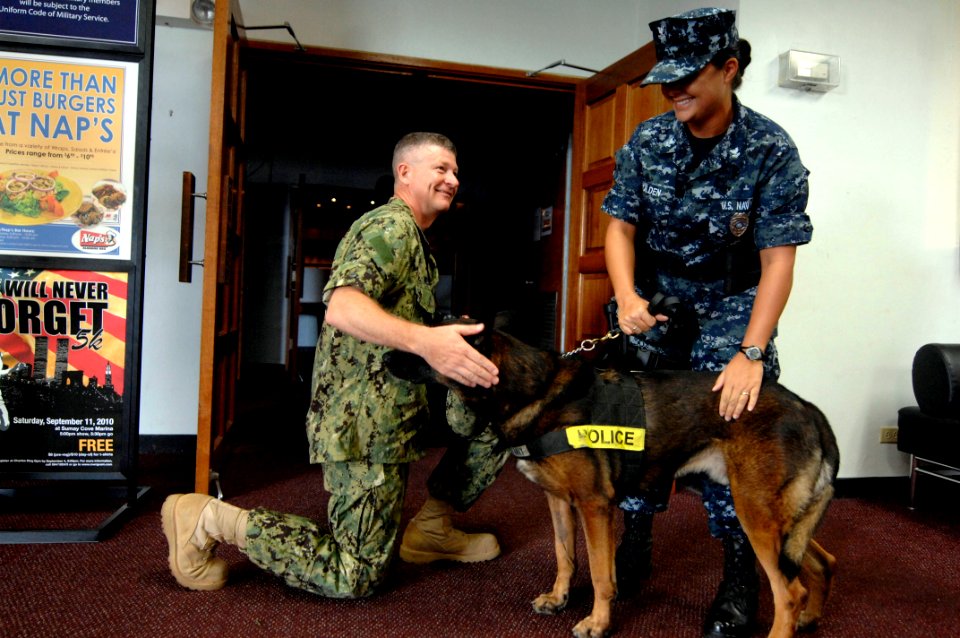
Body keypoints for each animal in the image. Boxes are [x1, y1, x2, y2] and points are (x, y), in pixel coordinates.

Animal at [386, 328, 836, 638]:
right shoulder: (558, 501)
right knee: (822, 562)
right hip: (779, 521)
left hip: (753, 513)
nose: (387, 352)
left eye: (428, 342)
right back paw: (811, 617)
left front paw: (598, 622)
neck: (536, 390)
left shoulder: (594, 505)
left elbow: (602, 574)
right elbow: (565, 556)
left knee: (788, 593)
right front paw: (560, 598)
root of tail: (809, 409)